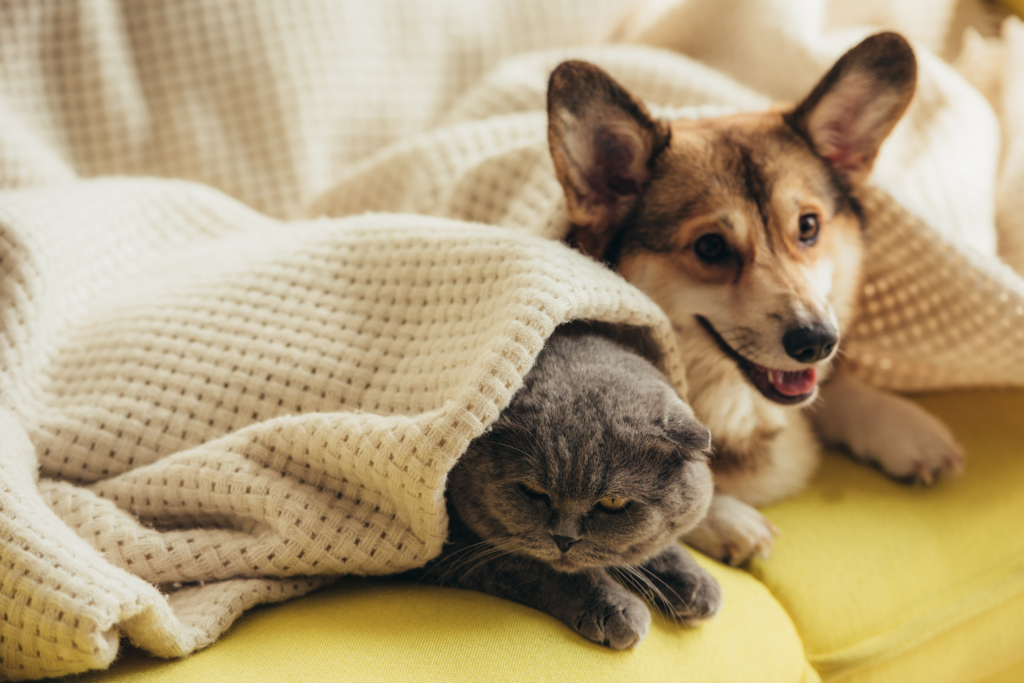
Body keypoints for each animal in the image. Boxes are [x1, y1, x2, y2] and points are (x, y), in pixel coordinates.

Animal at [413, 327, 720, 651]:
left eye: (613, 502)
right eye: (532, 490)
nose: (564, 538)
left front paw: (695, 581)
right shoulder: (453, 549)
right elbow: (536, 568)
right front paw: (615, 608)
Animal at [548, 31, 962, 565]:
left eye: (808, 226)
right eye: (710, 247)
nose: (818, 342)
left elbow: (835, 388)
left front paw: (904, 427)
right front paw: (728, 520)